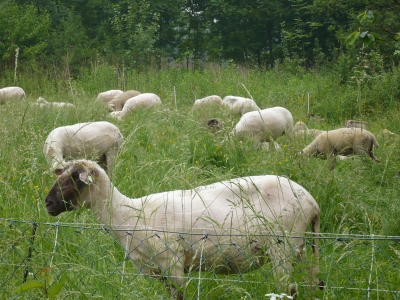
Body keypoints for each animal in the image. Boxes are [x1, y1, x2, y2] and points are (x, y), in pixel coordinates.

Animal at [45, 159, 324, 298]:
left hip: (283, 247)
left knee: (289, 290)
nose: (47, 203)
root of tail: (313, 202)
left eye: (74, 180)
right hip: (302, 247)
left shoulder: (173, 262)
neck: (126, 213)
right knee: (315, 282)